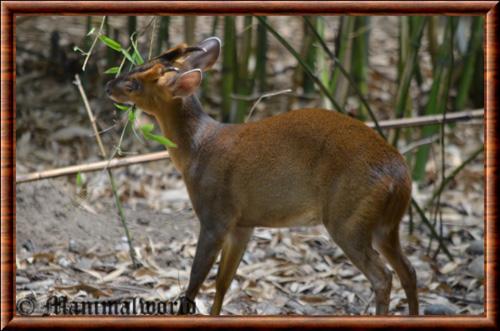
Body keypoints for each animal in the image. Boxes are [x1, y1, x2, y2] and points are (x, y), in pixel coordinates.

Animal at [105, 36, 418, 316]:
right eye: (140, 62)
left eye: (134, 84)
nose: (108, 85)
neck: (197, 149)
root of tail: (401, 177)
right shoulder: (243, 224)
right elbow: (223, 284)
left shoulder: (215, 216)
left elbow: (195, 283)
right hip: (385, 225)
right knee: (409, 270)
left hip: (348, 220)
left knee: (383, 276)